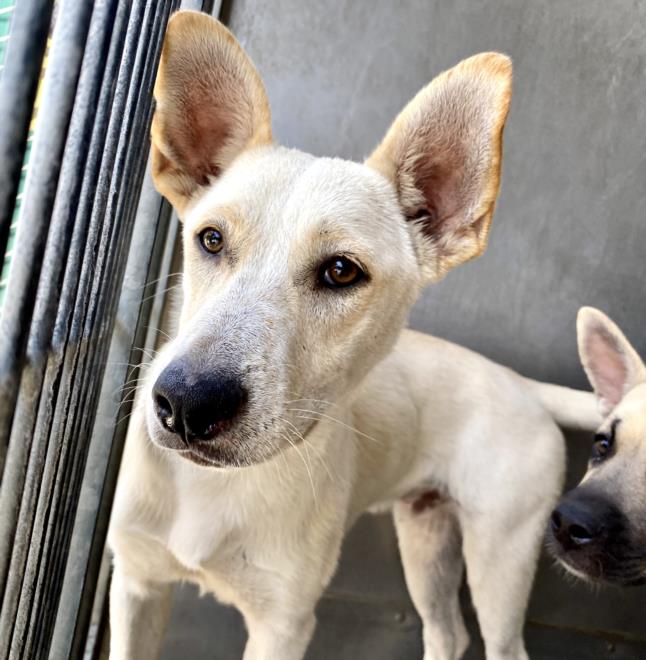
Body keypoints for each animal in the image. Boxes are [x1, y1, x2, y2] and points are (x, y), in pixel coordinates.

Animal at [107, 10, 604, 660]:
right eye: (210, 239)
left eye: (342, 271)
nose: (188, 404)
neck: (214, 489)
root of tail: (520, 382)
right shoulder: (136, 582)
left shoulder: (283, 623)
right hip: (426, 538)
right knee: (448, 634)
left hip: (501, 554)